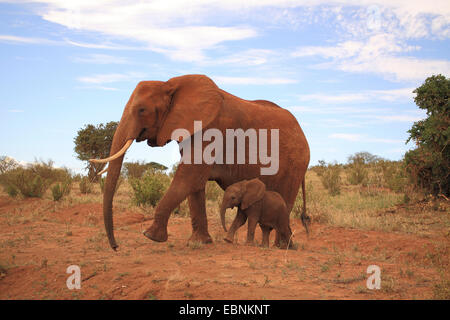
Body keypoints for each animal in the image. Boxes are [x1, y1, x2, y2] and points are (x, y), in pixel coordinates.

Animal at [91, 74, 310, 250]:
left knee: (285, 200)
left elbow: (189, 177)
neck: (171, 84)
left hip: (295, 164)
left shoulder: (211, 130)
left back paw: (281, 247)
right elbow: (195, 184)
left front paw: (150, 236)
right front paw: (199, 242)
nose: (115, 247)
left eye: (142, 110)